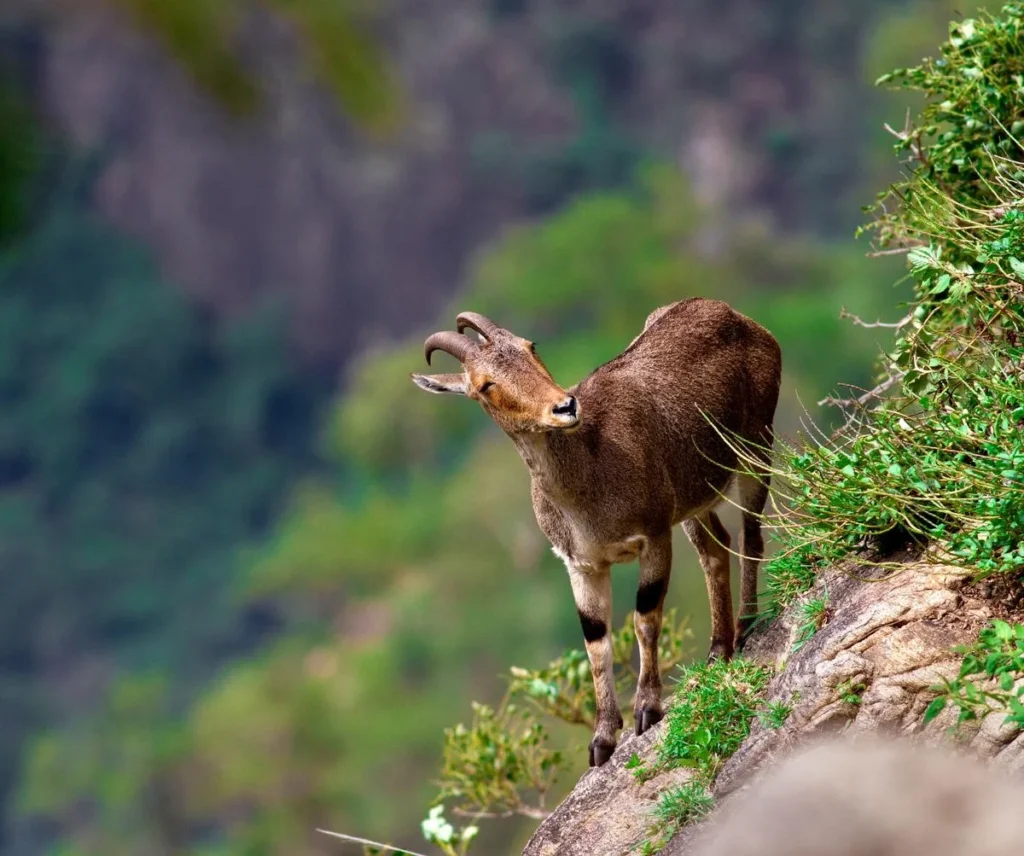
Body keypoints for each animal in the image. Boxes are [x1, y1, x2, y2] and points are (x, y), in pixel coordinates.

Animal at [411, 298, 778, 761]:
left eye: (531, 346)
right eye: (485, 384)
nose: (564, 406)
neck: (590, 481)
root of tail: (737, 317)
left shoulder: (654, 535)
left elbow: (645, 617)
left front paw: (647, 710)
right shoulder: (581, 564)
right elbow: (595, 642)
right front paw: (602, 740)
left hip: (755, 445)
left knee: (751, 535)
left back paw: (745, 628)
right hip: (693, 500)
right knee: (716, 549)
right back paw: (717, 649)